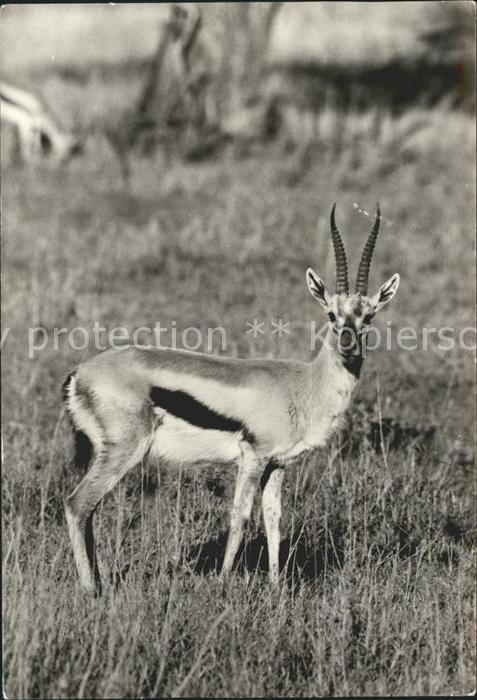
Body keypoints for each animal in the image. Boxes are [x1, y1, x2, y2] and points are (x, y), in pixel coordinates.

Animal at [63, 204, 399, 594]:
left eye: (369, 316)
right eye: (332, 313)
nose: (348, 345)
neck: (304, 386)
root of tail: (79, 373)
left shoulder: (276, 464)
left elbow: (273, 521)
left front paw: (275, 586)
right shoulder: (252, 457)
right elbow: (240, 516)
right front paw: (223, 581)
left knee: (88, 510)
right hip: (123, 452)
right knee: (77, 505)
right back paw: (90, 590)